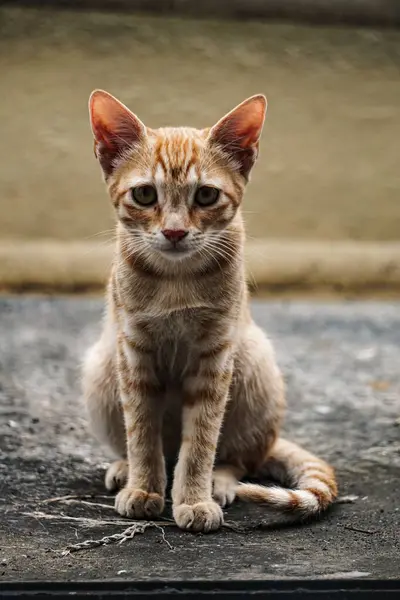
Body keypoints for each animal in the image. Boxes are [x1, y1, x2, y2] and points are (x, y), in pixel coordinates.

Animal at [83, 89, 338, 528]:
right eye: (145, 194)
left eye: (206, 195)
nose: (174, 231)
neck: (176, 279)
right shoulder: (133, 353)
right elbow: (141, 432)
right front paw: (144, 488)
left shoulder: (215, 356)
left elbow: (201, 439)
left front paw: (194, 499)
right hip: (101, 369)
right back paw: (125, 468)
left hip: (253, 361)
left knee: (239, 458)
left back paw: (220, 481)